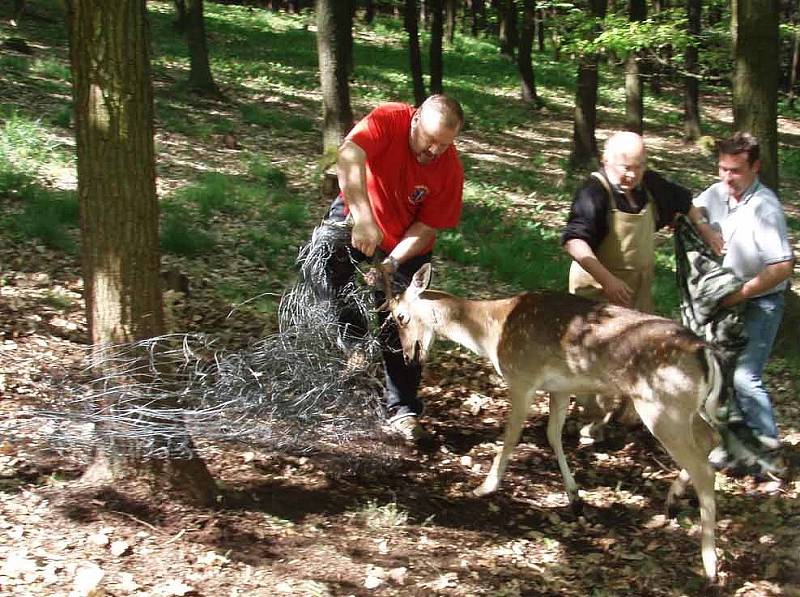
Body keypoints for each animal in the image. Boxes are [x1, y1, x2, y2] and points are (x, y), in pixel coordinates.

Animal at [384, 264, 720, 580]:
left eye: (400, 317)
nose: (408, 358)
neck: (491, 331)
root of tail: (705, 353)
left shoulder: (521, 377)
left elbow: (511, 435)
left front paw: (485, 487)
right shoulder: (560, 388)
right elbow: (552, 434)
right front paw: (575, 498)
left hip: (663, 407)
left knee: (704, 468)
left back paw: (710, 566)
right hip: (686, 409)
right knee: (711, 440)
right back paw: (674, 501)